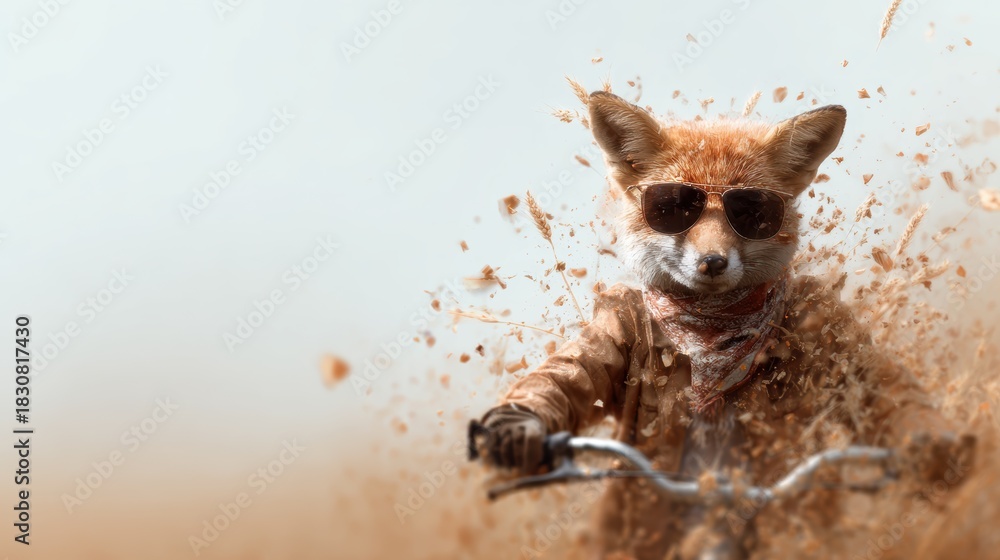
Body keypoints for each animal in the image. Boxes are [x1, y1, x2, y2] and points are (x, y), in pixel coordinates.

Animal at [476, 91, 975, 559]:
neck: (710, 334)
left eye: (751, 211)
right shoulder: (618, 318)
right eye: (674, 207)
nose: (713, 261)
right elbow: (569, 373)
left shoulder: (825, 318)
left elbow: (877, 382)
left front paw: (932, 445)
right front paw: (516, 428)